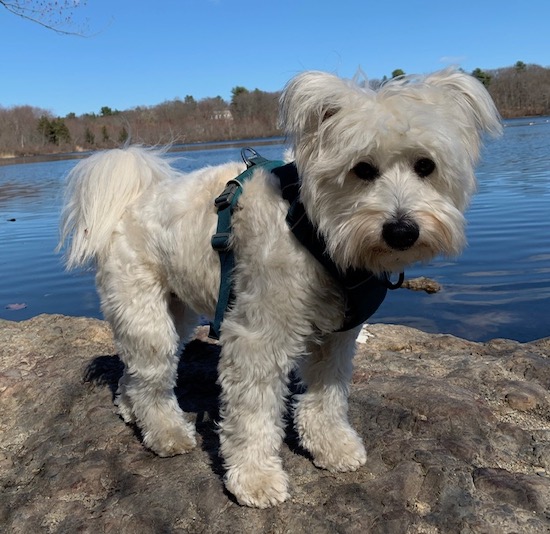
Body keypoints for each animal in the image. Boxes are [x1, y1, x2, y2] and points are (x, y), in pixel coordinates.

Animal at [60, 69, 504, 508]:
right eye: (362, 169)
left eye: (426, 165)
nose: (401, 231)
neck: (317, 227)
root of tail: (128, 206)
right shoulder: (257, 337)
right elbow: (253, 416)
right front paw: (255, 477)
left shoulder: (338, 335)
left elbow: (327, 397)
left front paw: (332, 445)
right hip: (147, 318)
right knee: (152, 379)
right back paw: (166, 433)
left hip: (176, 313)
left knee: (134, 373)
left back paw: (129, 408)